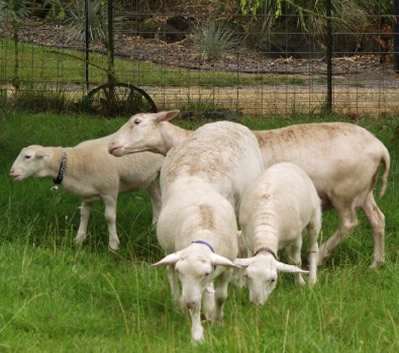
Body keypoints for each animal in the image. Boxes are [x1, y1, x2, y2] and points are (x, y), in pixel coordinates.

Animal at [10, 133, 164, 250]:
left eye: (27, 157)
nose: (11, 172)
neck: (75, 162)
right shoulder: (86, 194)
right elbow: (84, 214)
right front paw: (78, 239)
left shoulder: (109, 192)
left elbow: (109, 218)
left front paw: (113, 245)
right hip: (150, 179)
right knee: (157, 200)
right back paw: (153, 227)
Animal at [108, 110, 390, 266]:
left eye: (136, 122)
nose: (111, 145)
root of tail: (380, 148)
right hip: (364, 191)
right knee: (378, 219)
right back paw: (376, 263)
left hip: (345, 192)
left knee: (349, 223)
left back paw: (322, 255)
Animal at [113, 117, 266, 340]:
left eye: (137, 122)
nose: (187, 303)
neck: (203, 226)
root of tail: (224, 121)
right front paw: (199, 327)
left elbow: (220, 294)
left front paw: (216, 317)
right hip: (169, 250)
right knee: (170, 274)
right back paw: (178, 304)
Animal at [234, 162, 322, 306]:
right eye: (248, 276)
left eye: (272, 280)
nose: (256, 304)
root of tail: (287, 163)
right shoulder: (248, 241)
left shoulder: (296, 238)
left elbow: (296, 262)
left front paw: (300, 283)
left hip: (314, 217)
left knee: (313, 248)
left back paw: (312, 279)